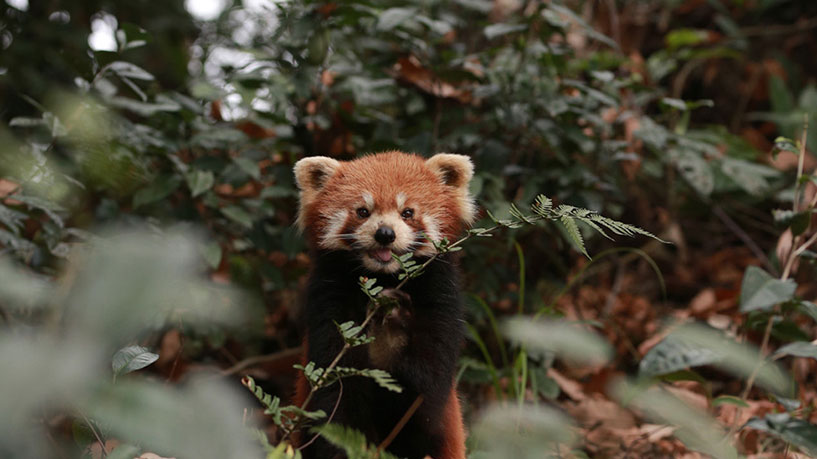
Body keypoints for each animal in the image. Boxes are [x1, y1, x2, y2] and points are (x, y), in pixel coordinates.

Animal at [292, 152, 472, 459]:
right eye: (363, 211)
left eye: (407, 212)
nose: (385, 233)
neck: (384, 277)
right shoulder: (330, 303)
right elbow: (337, 399)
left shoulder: (441, 302)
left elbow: (425, 393)